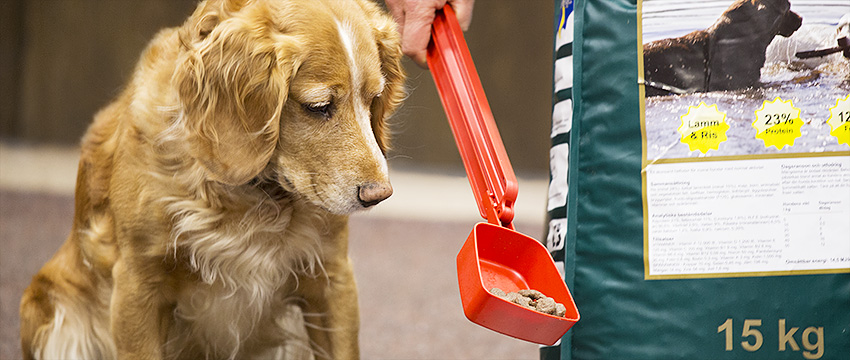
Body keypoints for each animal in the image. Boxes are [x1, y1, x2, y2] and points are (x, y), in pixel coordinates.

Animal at [19, 1, 404, 358]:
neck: (250, 196)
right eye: (319, 106)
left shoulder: (331, 277)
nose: (379, 194)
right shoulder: (137, 283)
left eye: (373, 99)